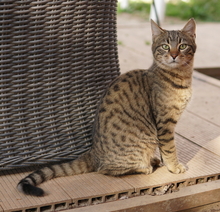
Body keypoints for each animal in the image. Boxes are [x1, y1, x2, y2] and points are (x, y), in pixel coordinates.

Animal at [16, 19, 196, 196]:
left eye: (182, 46)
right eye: (165, 46)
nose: (174, 55)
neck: (181, 78)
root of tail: (93, 152)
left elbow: (165, 149)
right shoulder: (165, 123)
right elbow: (169, 148)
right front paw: (174, 166)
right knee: (105, 170)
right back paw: (145, 167)